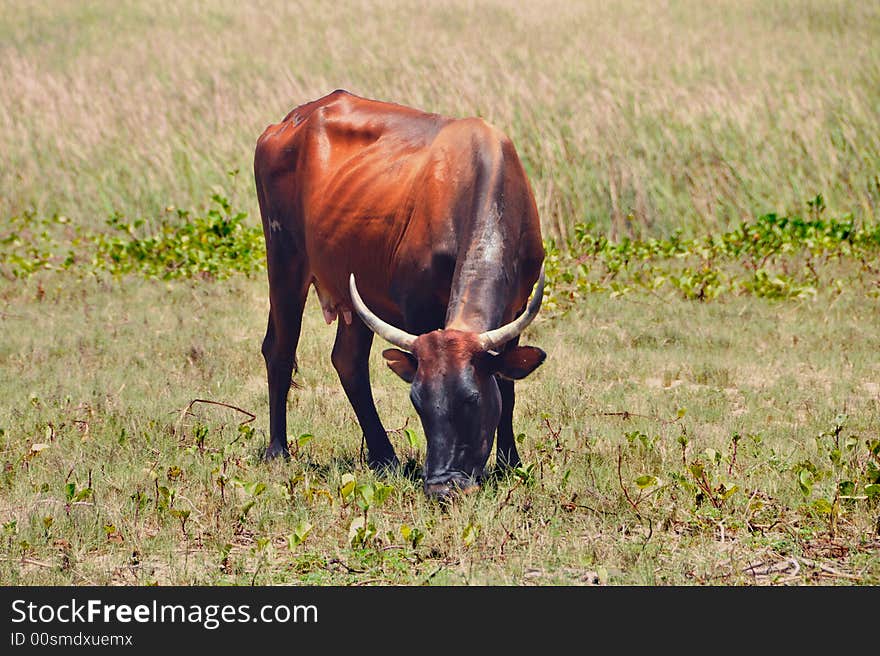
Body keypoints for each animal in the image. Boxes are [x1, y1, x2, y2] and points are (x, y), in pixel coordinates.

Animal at [251, 88, 548, 498]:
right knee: (280, 350)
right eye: (418, 401)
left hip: (351, 293)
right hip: (284, 261)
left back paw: (384, 457)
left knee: (347, 361)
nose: (442, 486)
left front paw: (510, 464)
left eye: (472, 399)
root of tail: (288, 121)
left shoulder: (517, 309)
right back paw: (278, 451)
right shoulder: (418, 308)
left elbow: (508, 384)